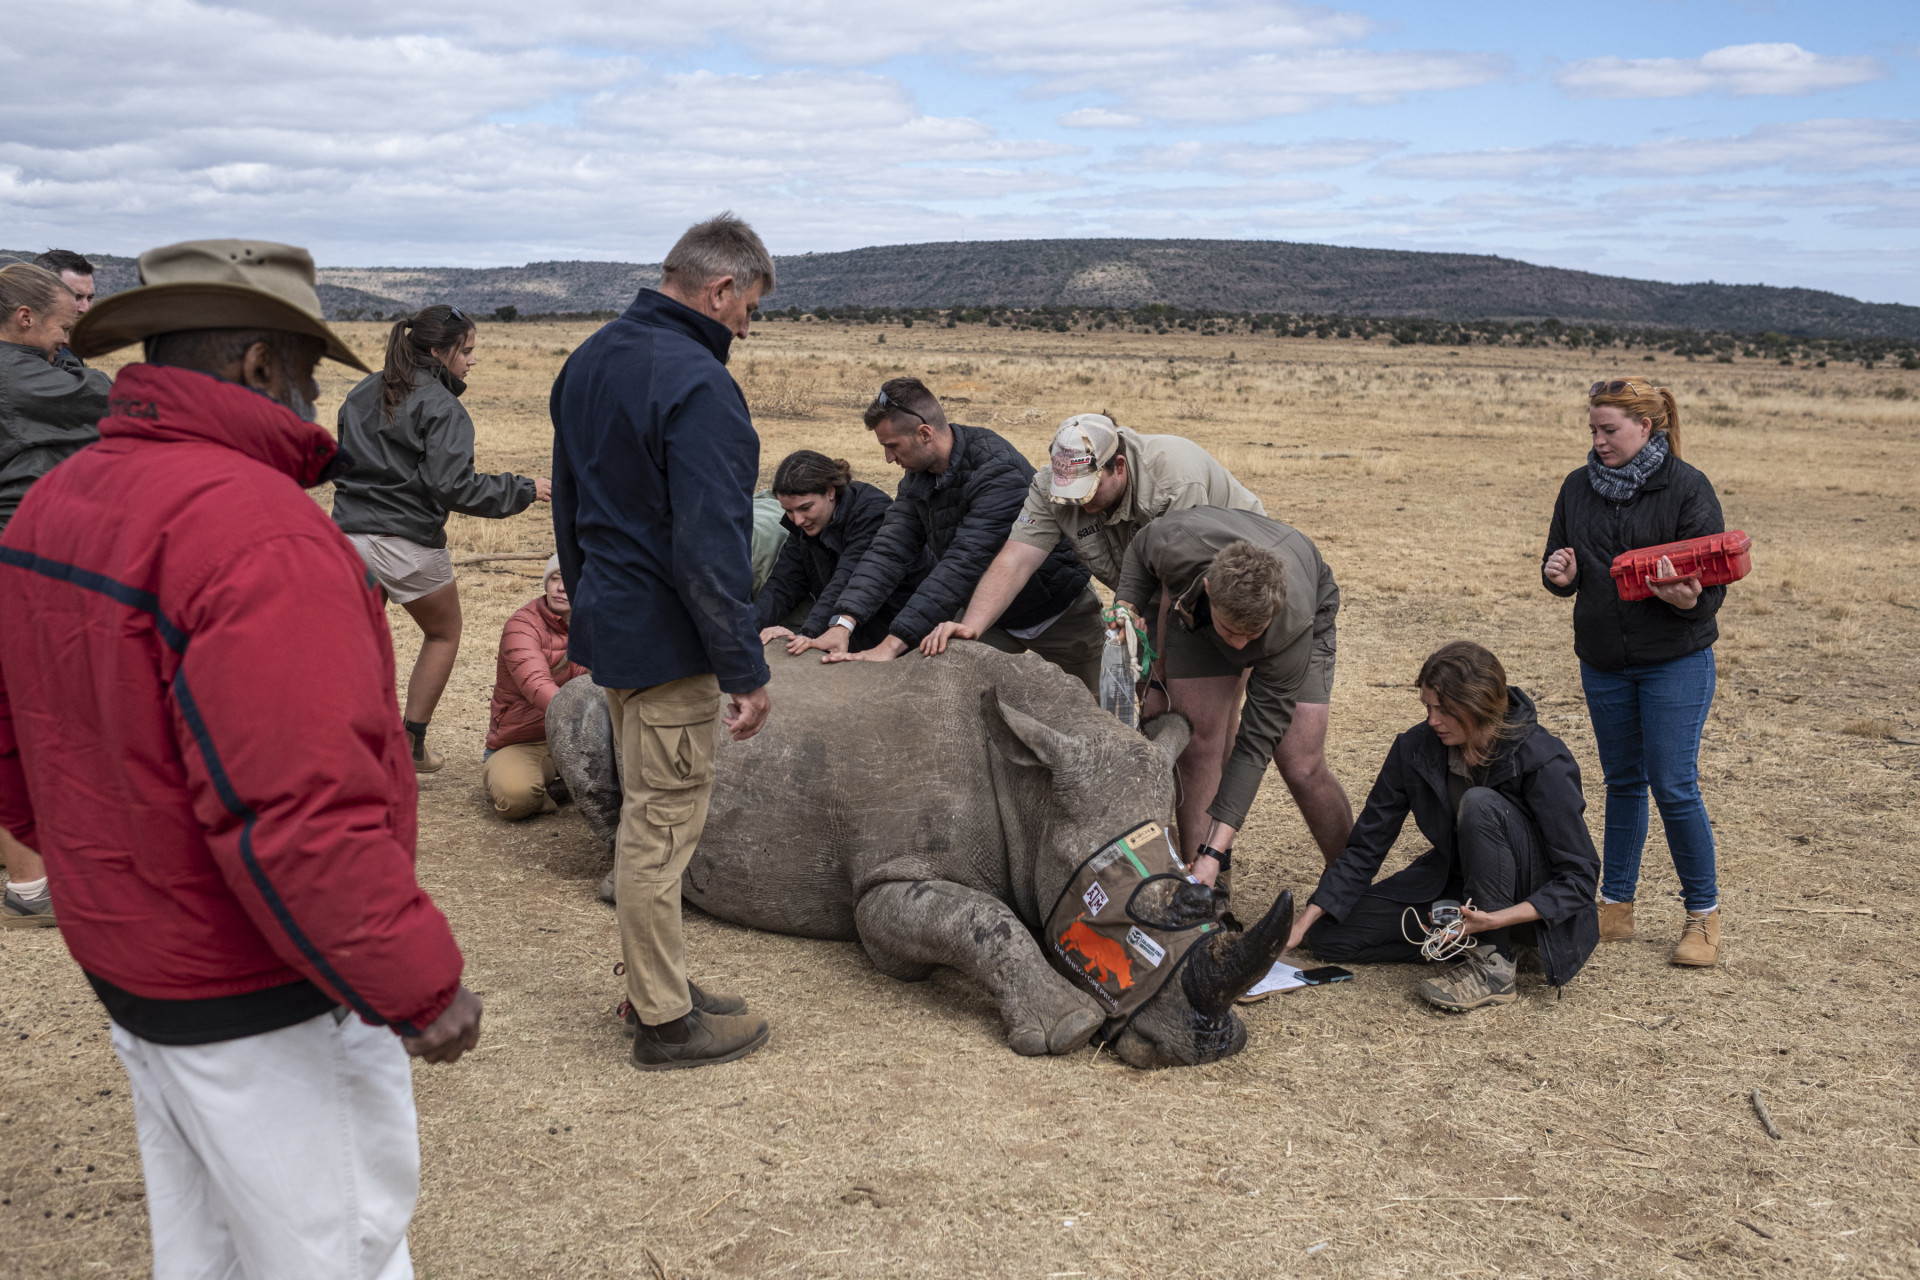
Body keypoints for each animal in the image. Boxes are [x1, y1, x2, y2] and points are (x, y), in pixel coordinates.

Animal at [545, 640, 1290, 1074]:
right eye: (1109, 899)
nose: (1208, 1047)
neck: (1032, 790)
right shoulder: (883, 888)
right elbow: (980, 919)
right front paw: (1068, 1028)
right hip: (589, 696)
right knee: (572, 712)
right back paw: (623, 885)